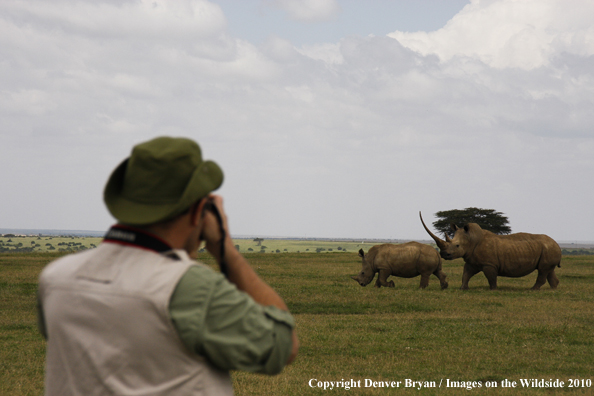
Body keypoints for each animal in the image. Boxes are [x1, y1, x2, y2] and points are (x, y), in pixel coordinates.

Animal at [416, 210, 560, 290]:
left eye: (457, 246)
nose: (443, 254)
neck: (471, 239)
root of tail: (557, 244)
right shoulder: (471, 261)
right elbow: (466, 274)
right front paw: (463, 288)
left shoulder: (489, 264)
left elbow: (491, 277)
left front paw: (493, 289)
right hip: (548, 249)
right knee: (548, 270)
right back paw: (553, 289)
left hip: (548, 248)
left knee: (543, 270)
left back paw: (533, 290)